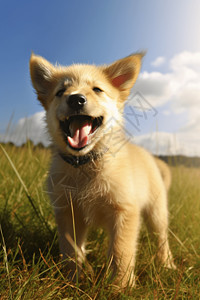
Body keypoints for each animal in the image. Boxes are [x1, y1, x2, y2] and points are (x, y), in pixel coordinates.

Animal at [29, 52, 175, 288]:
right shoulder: (68, 213)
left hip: (156, 212)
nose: (76, 99)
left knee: (162, 238)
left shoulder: (124, 211)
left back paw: (167, 264)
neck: (85, 164)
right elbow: (71, 251)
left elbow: (121, 252)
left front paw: (120, 287)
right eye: (60, 92)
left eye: (97, 89)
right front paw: (72, 281)